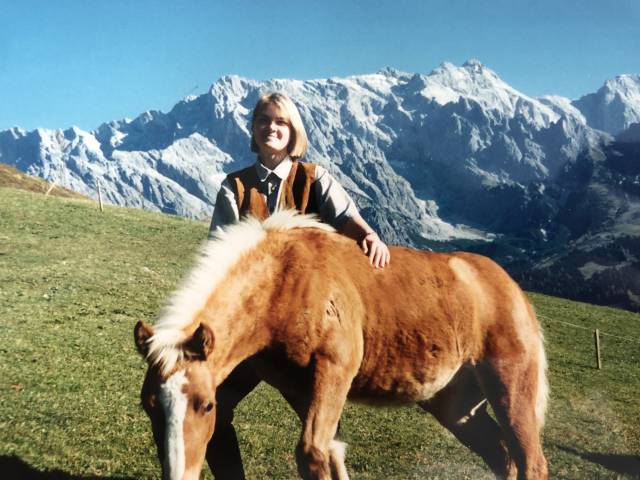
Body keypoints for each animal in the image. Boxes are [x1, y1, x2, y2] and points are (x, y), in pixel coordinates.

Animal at [132, 211, 548, 480]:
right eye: (149, 406)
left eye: (207, 405)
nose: (178, 475)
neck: (286, 281)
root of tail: (512, 289)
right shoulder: (300, 389)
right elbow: (331, 453)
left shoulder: (333, 371)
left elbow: (312, 453)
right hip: (459, 408)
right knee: (505, 459)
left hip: (510, 391)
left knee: (530, 461)